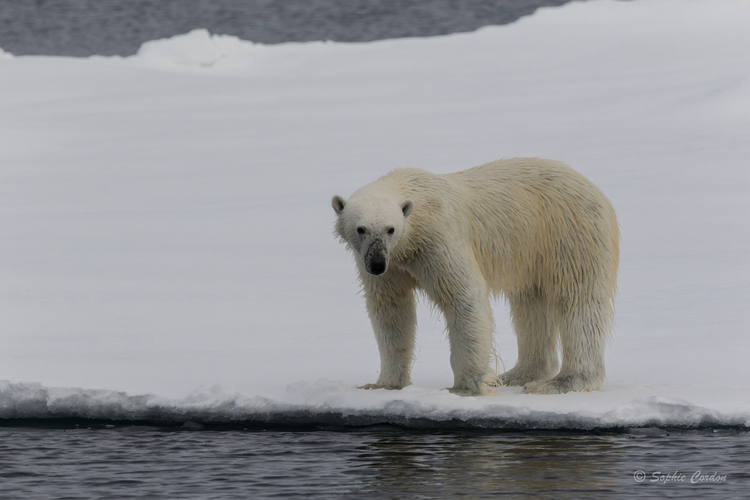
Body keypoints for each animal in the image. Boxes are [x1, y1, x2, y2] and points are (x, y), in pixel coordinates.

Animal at [334, 158, 624, 396]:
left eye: (390, 229)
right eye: (361, 229)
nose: (376, 263)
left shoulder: (438, 239)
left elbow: (464, 295)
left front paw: (468, 385)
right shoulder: (391, 266)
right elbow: (390, 310)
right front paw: (382, 384)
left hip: (568, 232)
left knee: (578, 301)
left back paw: (559, 382)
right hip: (533, 253)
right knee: (531, 303)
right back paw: (519, 374)